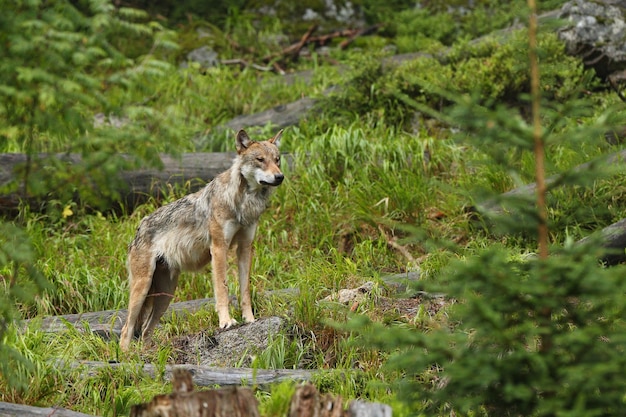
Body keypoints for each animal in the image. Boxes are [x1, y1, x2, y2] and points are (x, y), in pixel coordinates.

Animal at [119, 128, 282, 350]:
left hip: (165, 295)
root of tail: (138, 228)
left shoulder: (245, 248)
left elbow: (245, 290)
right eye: (260, 159)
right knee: (126, 330)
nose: (280, 176)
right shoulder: (219, 248)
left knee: (144, 330)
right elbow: (222, 288)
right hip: (142, 288)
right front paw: (226, 322)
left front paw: (250, 319)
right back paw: (126, 357)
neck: (243, 202)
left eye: (277, 159)